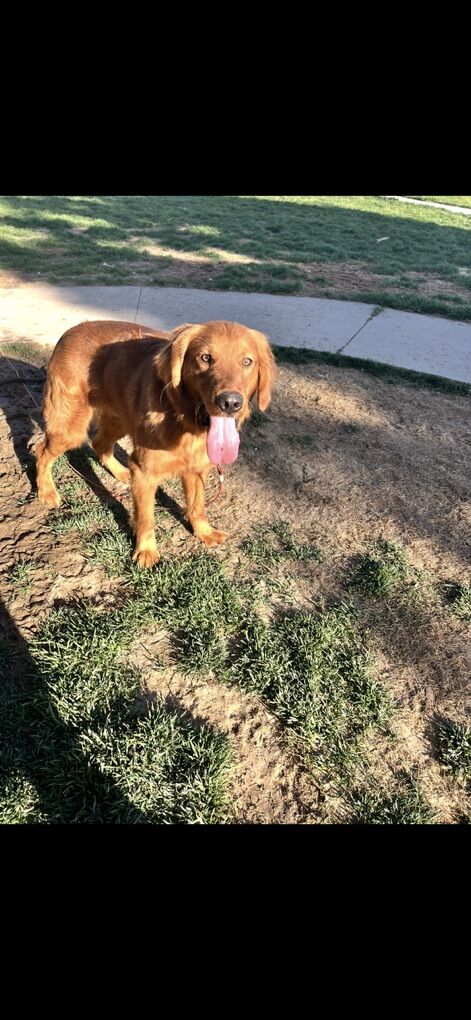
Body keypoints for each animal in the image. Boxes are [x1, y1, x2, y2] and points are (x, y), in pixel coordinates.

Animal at [35, 319, 276, 567]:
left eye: (247, 361)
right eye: (205, 358)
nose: (230, 403)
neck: (185, 421)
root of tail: (71, 331)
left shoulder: (196, 469)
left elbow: (197, 506)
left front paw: (204, 532)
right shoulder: (144, 472)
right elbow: (146, 517)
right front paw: (146, 551)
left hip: (119, 421)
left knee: (99, 443)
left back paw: (121, 472)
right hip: (70, 428)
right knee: (41, 452)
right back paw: (46, 491)